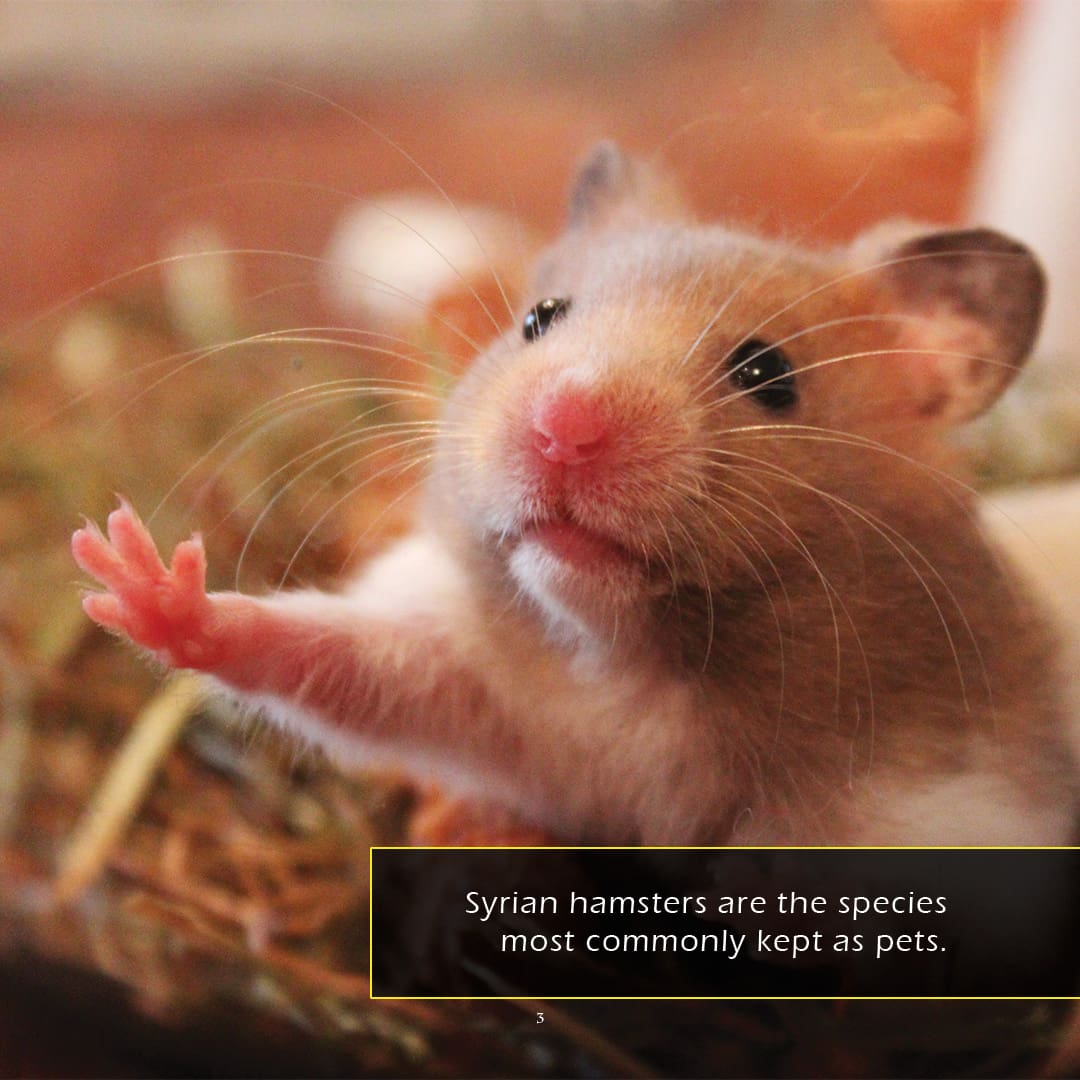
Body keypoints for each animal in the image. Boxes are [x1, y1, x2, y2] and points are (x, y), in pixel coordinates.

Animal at [71, 142, 1078, 846]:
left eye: (769, 374)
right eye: (538, 319)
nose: (564, 424)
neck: (629, 664)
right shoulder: (477, 686)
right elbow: (323, 654)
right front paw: (136, 580)